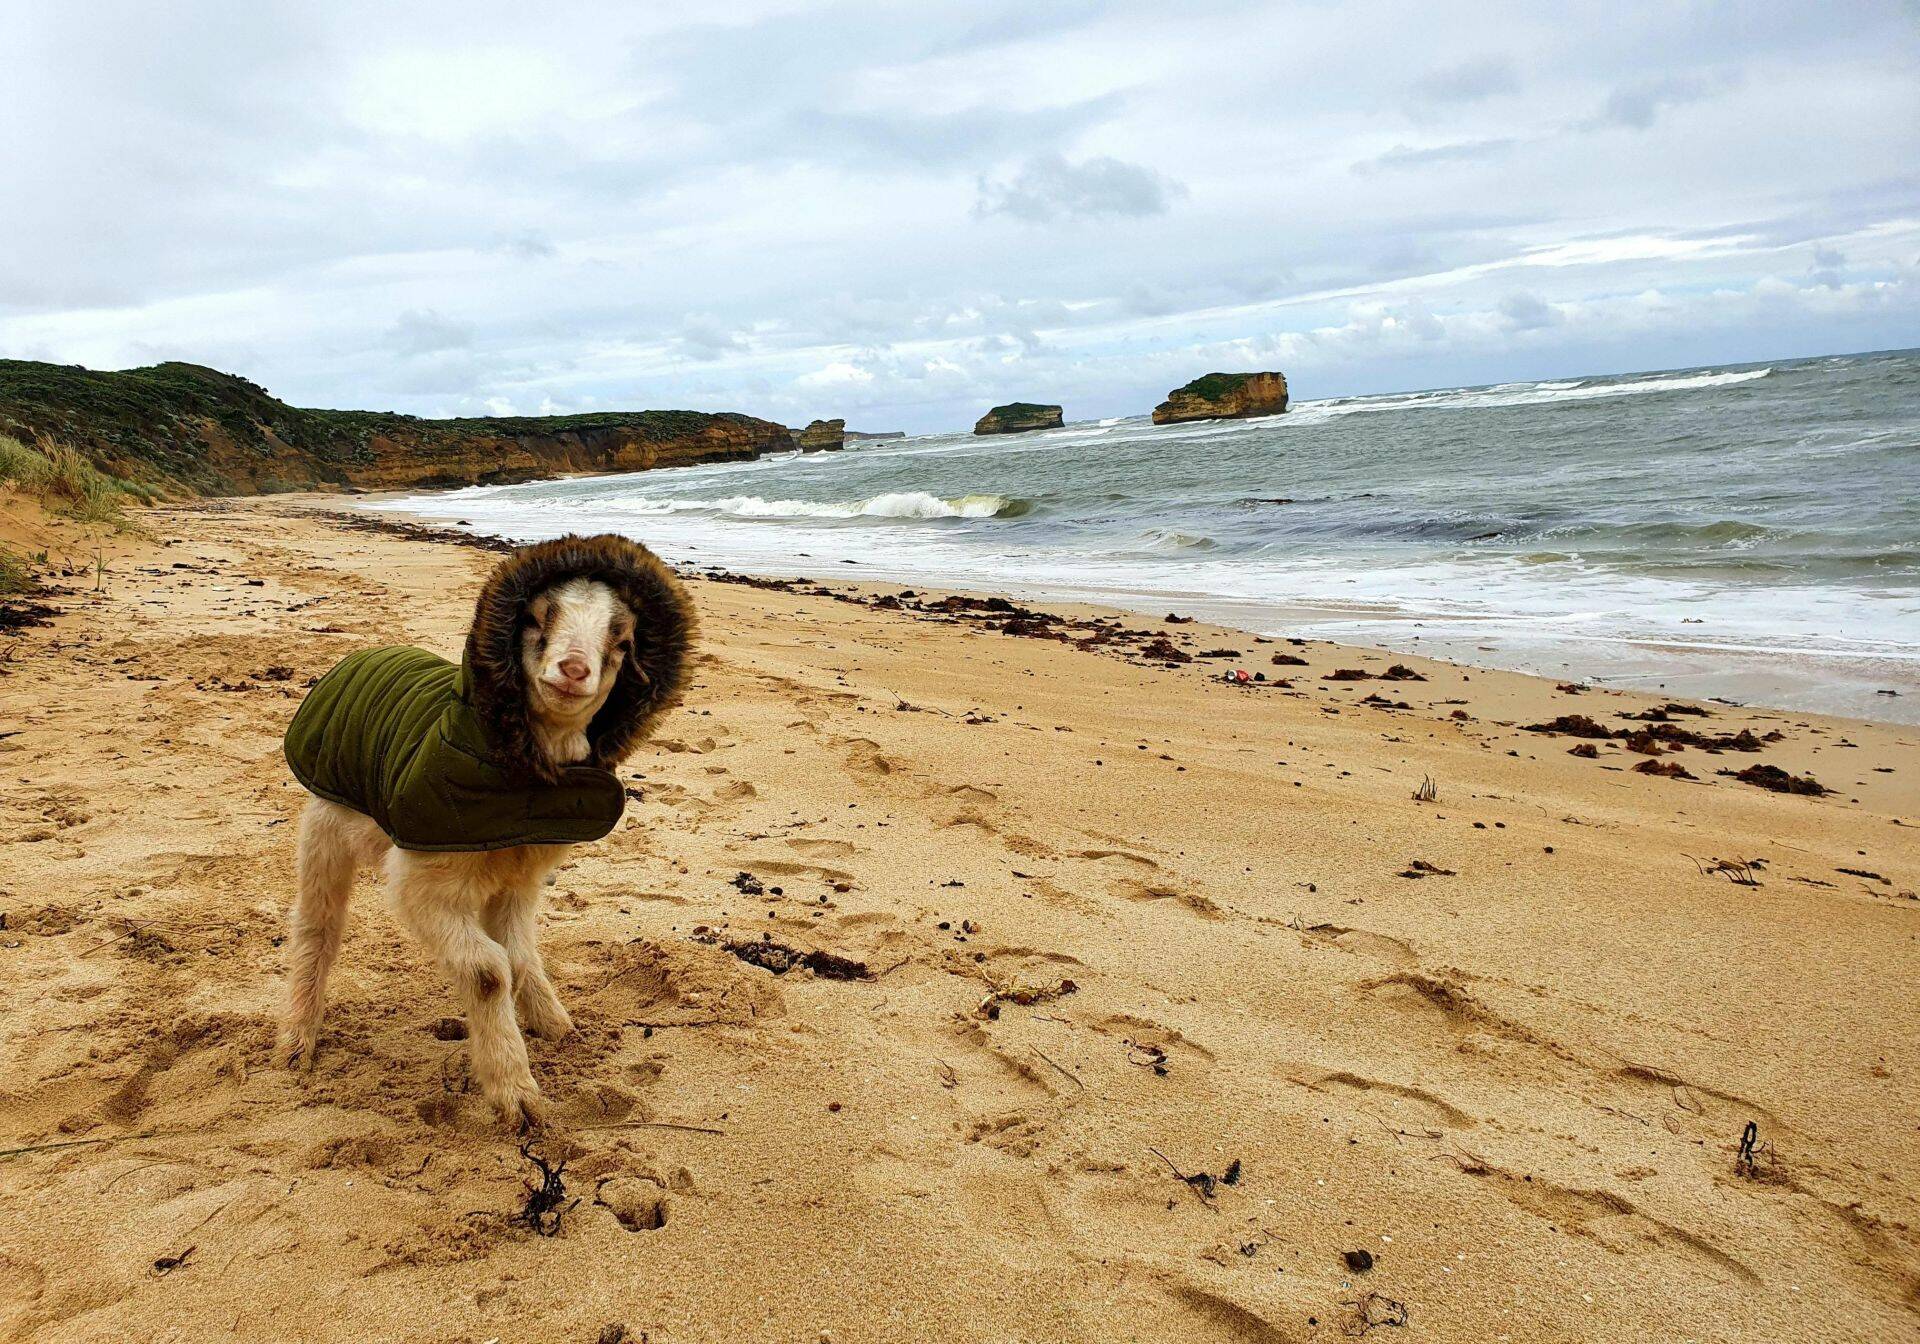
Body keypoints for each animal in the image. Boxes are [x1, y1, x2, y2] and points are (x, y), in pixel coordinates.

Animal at [278, 529, 698, 1128]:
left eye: (621, 642)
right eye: (536, 618)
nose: (574, 669)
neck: (523, 783)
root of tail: (367, 653)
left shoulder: (520, 879)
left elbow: (519, 957)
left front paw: (553, 1030)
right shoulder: (424, 883)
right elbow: (488, 971)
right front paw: (514, 1091)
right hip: (324, 824)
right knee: (318, 926)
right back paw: (297, 1040)